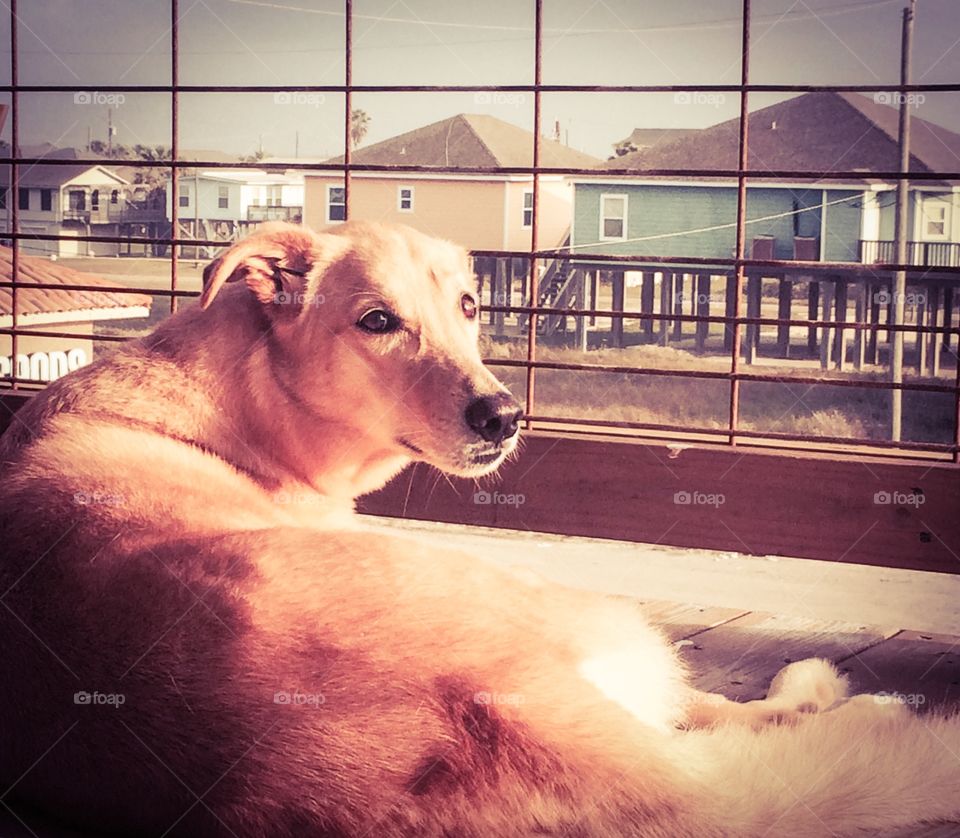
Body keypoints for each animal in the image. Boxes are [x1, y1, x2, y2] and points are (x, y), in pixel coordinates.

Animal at [1, 223, 960, 838]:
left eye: (468, 305)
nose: (506, 415)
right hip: (582, 613)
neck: (243, 397)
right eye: (377, 321)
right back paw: (842, 698)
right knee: (719, 713)